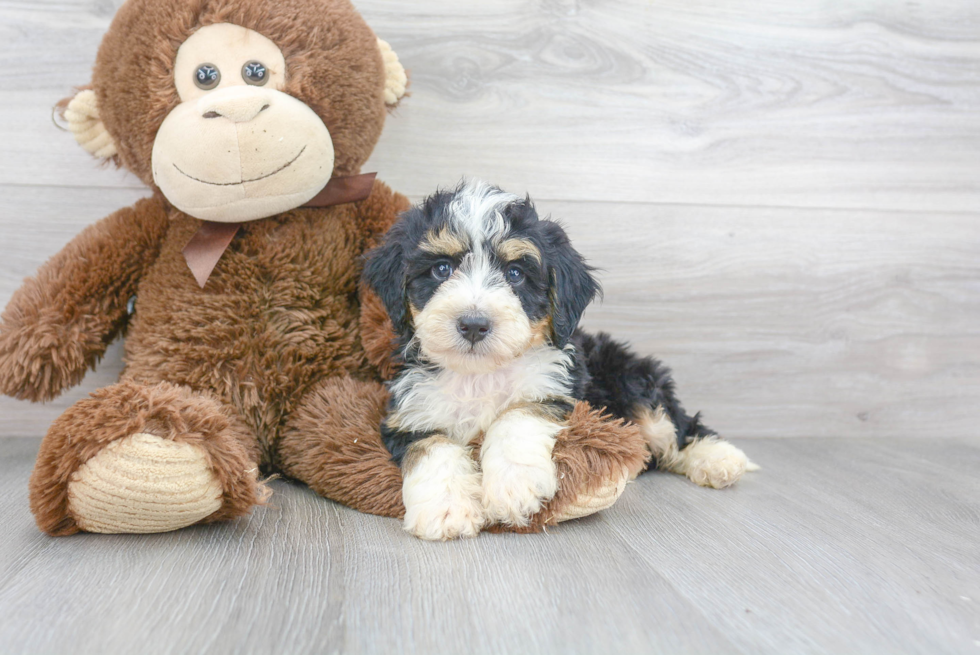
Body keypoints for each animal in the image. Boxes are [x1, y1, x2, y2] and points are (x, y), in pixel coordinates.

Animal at [364, 181, 756, 544]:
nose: (473, 324)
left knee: (676, 427)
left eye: (515, 274)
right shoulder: (411, 413)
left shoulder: (556, 387)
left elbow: (516, 415)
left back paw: (719, 460)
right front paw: (446, 510)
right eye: (442, 269)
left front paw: (512, 486)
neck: (481, 373)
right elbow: (432, 449)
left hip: (632, 382)